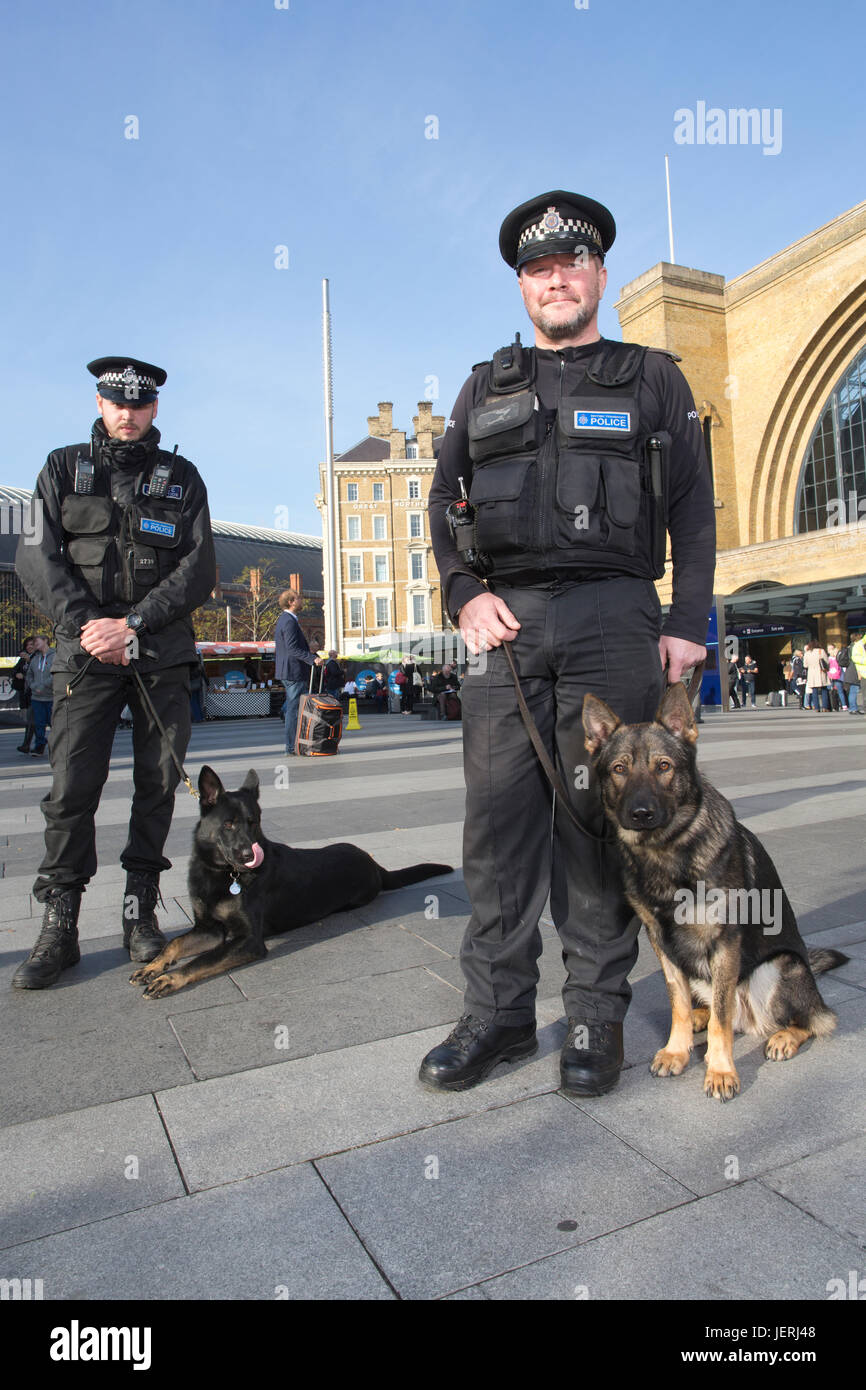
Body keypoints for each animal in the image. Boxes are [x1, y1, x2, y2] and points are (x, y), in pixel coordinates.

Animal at [130, 767, 453, 995]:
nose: (249, 855)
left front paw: (169, 978)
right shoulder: (208, 929)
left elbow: (202, 960)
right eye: (229, 824)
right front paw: (155, 966)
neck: (222, 873)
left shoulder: (248, 940)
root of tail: (374, 863)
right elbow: (174, 944)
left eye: (254, 823)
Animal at [583, 681, 845, 1095]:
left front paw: (720, 1070)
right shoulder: (663, 945)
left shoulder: (724, 944)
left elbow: (723, 1019)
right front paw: (677, 1050)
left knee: (811, 1020)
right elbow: (677, 1002)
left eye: (664, 767)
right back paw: (697, 1018)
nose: (641, 814)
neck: (667, 851)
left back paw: (784, 1037)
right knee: (711, 1008)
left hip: (777, 969)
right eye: (619, 769)